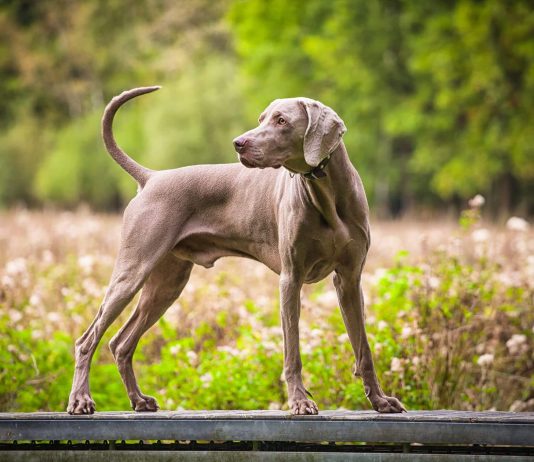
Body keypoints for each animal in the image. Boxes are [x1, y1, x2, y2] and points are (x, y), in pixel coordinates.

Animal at [66, 85, 406, 416]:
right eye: (261, 118)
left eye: (281, 120)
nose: (238, 143)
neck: (326, 191)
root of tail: (152, 177)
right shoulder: (290, 278)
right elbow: (292, 352)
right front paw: (300, 401)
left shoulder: (349, 279)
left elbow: (363, 348)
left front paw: (380, 401)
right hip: (133, 270)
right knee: (87, 340)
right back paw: (81, 400)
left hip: (166, 284)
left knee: (121, 343)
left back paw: (138, 400)